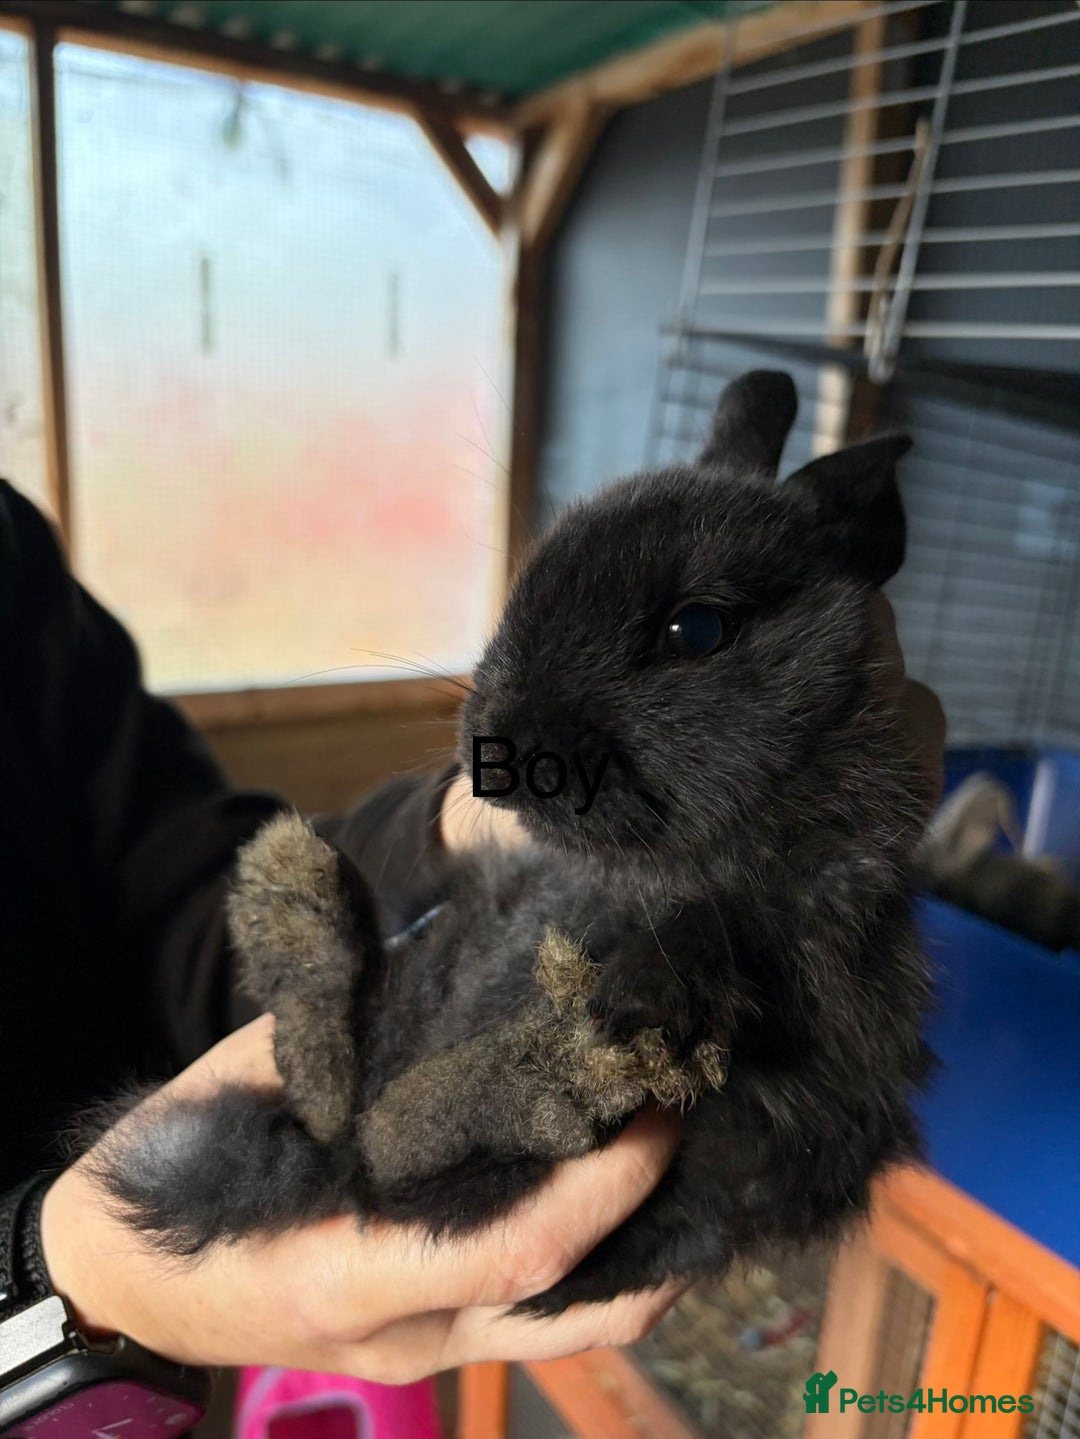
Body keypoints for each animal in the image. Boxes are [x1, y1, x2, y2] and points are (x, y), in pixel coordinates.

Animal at [81, 370, 935, 1315]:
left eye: (697, 630)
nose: (496, 745)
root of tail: (317, 1170)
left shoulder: (817, 938)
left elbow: (717, 943)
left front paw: (642, 997)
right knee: (354, 1107)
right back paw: (297, 911)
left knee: (383, 1147)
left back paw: (560, 1069)